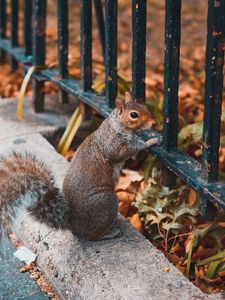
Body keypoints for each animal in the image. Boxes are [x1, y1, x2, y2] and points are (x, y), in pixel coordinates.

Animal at [0, 91, 160, 241]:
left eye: (144, 107)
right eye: (134, 115)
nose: (153, 123)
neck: (117, 126)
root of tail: (72, 224)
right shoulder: (112, 145)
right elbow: (124, 152)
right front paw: (150, 142)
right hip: (106, 202)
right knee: (92, 235)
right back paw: (109, 233)